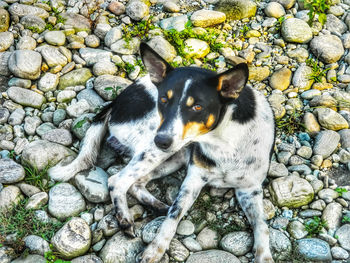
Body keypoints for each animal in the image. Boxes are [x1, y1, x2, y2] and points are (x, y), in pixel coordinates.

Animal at [47, 43, 274, 263]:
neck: (224, 141)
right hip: (156, 149)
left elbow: (261, 225)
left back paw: (158, 206)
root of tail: (114, 103)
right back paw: (126, 218)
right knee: (117, 180)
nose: (161, 140)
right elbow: (173, 217)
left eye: (197, 107)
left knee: (136, 183)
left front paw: (264, 256)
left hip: (173, 155)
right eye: (163, 100)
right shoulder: (193, 180)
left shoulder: (250, 190)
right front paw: (154, 250)